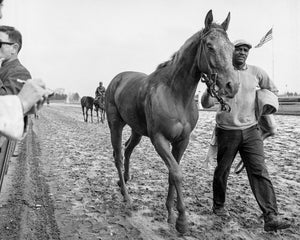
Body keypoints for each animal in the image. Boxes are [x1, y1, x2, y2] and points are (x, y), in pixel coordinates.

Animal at [105, 10, 239, 233]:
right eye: (209, 45)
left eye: (231, 47)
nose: (232, 86)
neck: (176, 94)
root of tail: (117, 79)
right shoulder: (159, 139)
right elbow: (176, 172)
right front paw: (182, 220)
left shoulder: (182, 140)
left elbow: (172, 173)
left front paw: (170, 212)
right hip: (115, 124)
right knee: (118, 156)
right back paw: (126, 196)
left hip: (137, 130)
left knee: (128, 149)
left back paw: (123, 181)